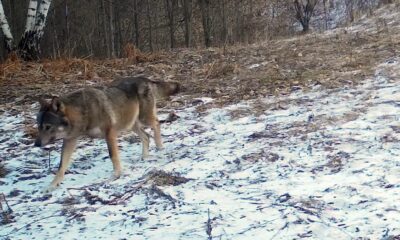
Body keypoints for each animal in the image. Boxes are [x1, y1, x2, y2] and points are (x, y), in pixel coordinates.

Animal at [35, 77, 179, 191]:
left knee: (157, 123)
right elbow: (61, 166)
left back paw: (160, 147)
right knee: (146, 136)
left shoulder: (110, 133)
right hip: (130, 124)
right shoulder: (70, 140)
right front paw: (51, 186)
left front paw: (116, 175)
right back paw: (144, 157)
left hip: (143, 119)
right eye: (39, 126)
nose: (36, 144)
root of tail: (144, 78)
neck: (83, 113)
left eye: (48, 127)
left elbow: (112, 155)